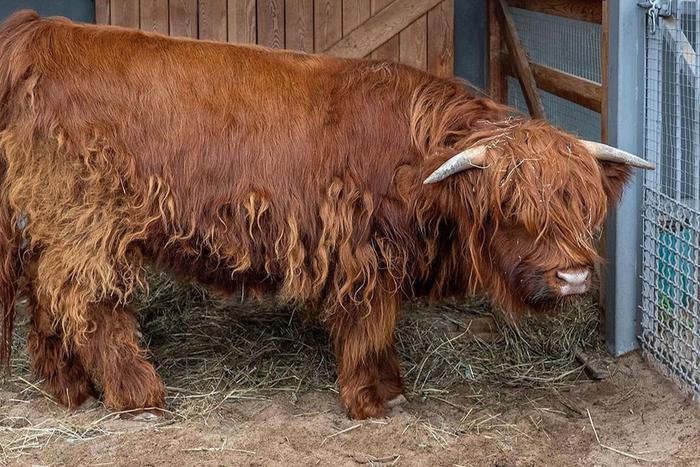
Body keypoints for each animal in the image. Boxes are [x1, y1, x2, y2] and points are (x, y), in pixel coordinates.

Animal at [0, 11, 653, 420]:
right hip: (90, 222)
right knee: (86, 299)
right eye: (511, 207)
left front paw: (389, 386)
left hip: (57, 222)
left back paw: (67, 387)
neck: (416, 160)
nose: (574, 276)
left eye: (583, 207)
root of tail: (42, 29)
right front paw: (373, 398)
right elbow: (369, 325)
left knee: (46, 290)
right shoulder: (363, 254)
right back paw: (137, 395)